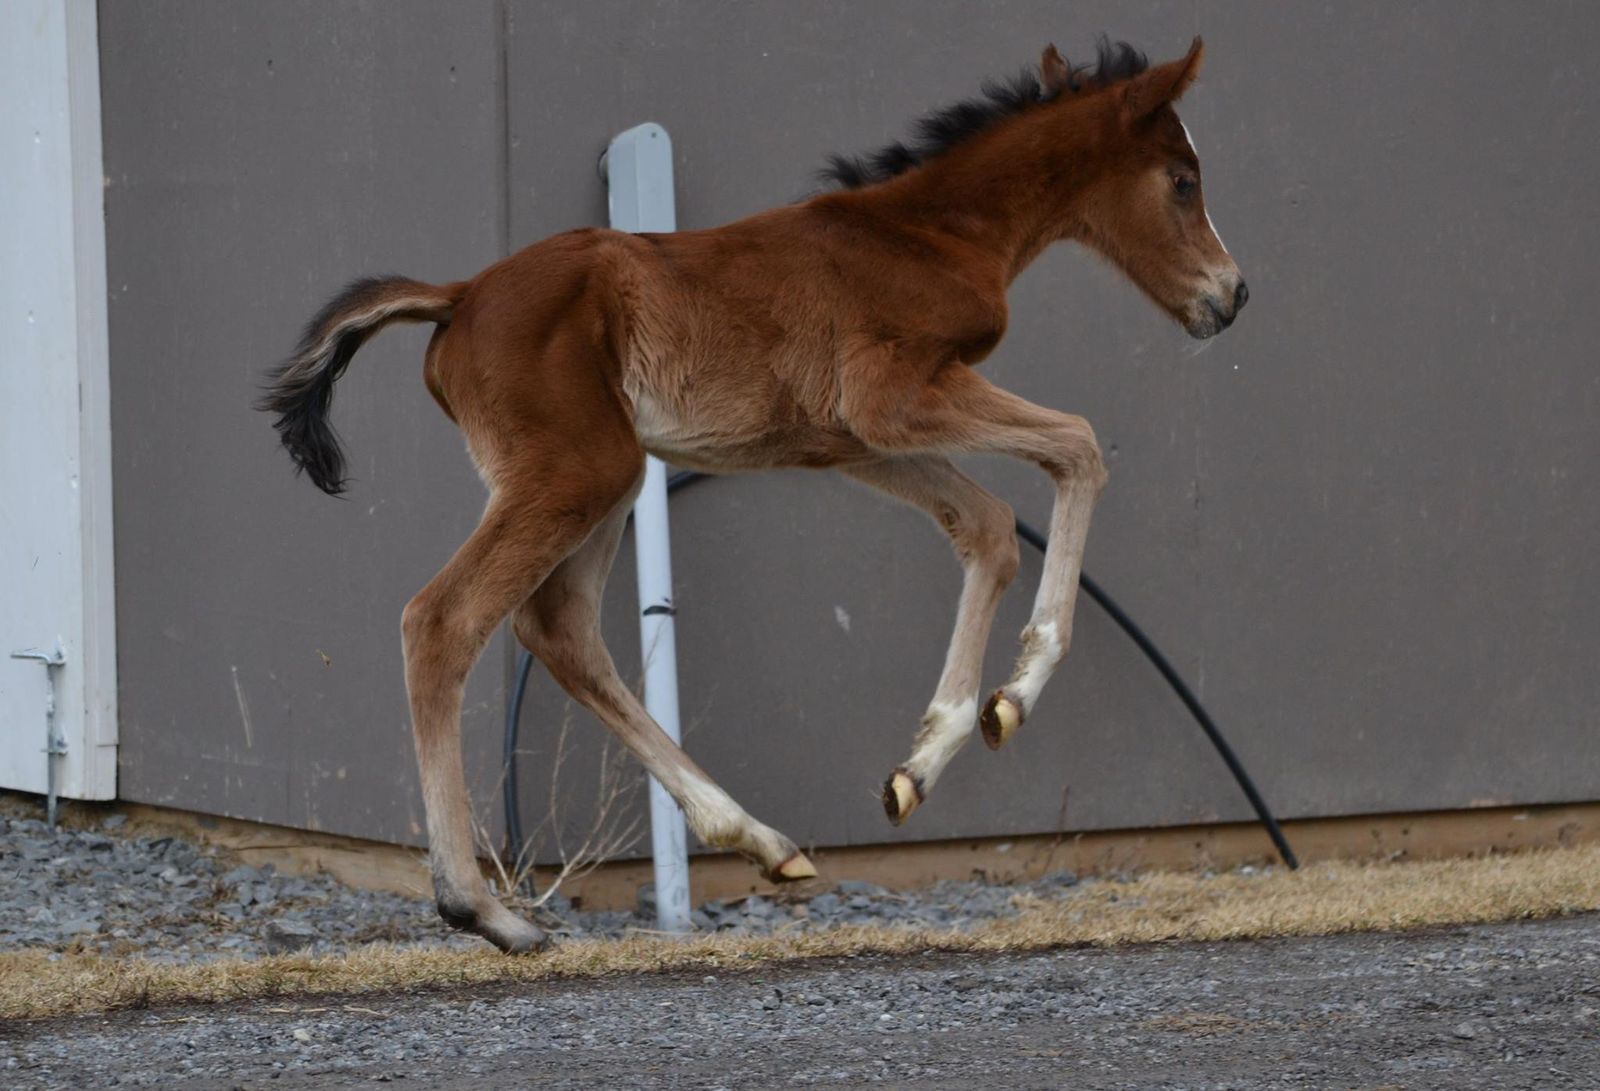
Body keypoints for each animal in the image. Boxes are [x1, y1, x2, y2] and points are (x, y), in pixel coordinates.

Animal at [260, 37, 1246, 953]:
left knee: (561, 629)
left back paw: (759, 839)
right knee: (443, 619)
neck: (932, 233)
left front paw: (924, 762)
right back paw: (487, 910)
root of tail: (458, 296)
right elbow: (1078, 446)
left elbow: (992, 526)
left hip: (606, 474)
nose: (1232, 295)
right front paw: (1016, 695)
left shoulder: (854, 439)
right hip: (576, 471)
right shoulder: (893, 394)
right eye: (1183, 179)